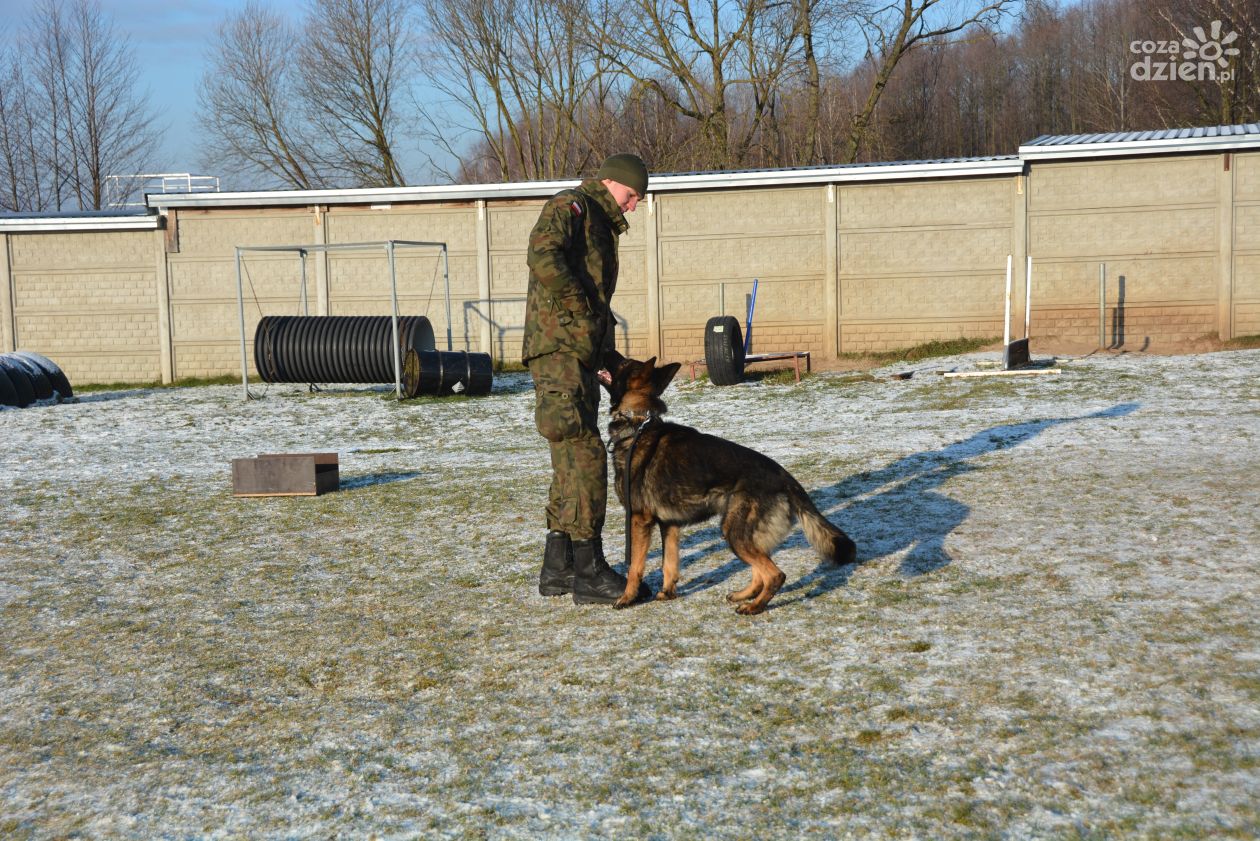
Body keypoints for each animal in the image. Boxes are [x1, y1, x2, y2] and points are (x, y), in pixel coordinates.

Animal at [599, 353, 856, 615]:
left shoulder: (639, 519)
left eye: (623, 363)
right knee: (760, 571)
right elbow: (669, 563)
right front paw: (667, 593)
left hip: (734, 531)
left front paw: (627, 598)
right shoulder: (669, 524)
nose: (606, 350)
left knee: (775, 574)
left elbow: (635, 566)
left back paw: (754, 607)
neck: (637, 424)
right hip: (744, 533)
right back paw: (745, 595)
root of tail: (784, 476)